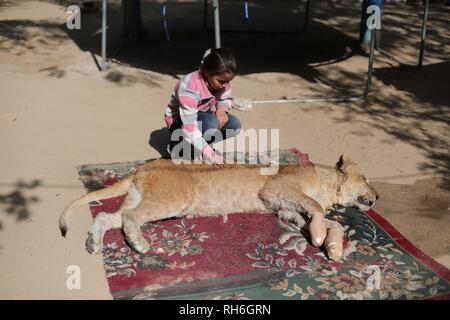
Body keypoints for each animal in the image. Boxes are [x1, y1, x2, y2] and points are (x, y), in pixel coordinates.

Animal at [59, 154, 376, 262]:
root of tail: (143, 167)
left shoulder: (286, 210)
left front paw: (332, 246)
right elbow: (317, 208)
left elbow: (329, 221)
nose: (377, 196)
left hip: (141, 197)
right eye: (367, 179)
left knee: (107, 215)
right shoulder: (276, 189)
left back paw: (93, 243)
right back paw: (139, 243)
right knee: (128, 217)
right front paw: (323, 237)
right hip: (171, 201)